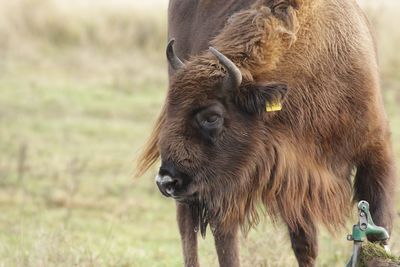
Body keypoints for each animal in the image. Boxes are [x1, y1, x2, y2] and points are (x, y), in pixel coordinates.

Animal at [136, 0, 396, 267]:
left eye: (212, 117)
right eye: (172, 109)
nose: (166, 181)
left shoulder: (375, 152)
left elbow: (374, 231)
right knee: (203, 231)